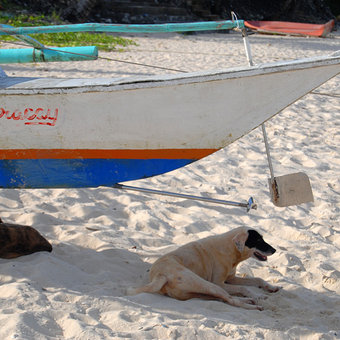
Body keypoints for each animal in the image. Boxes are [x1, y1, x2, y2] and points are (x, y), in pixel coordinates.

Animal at [127, 227, 278, 310]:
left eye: (262, 238)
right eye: (257, 240)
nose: (275, 250)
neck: (230, 249)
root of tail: (160, 275)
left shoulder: (231, 279)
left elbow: (257, 279)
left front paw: (270, 287)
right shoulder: (220, 283)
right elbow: (244, 288)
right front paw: (258, 295)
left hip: (199, 292)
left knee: (225, 298)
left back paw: (248, 301)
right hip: (209, 285)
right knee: (231, 300)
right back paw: (254, 305)